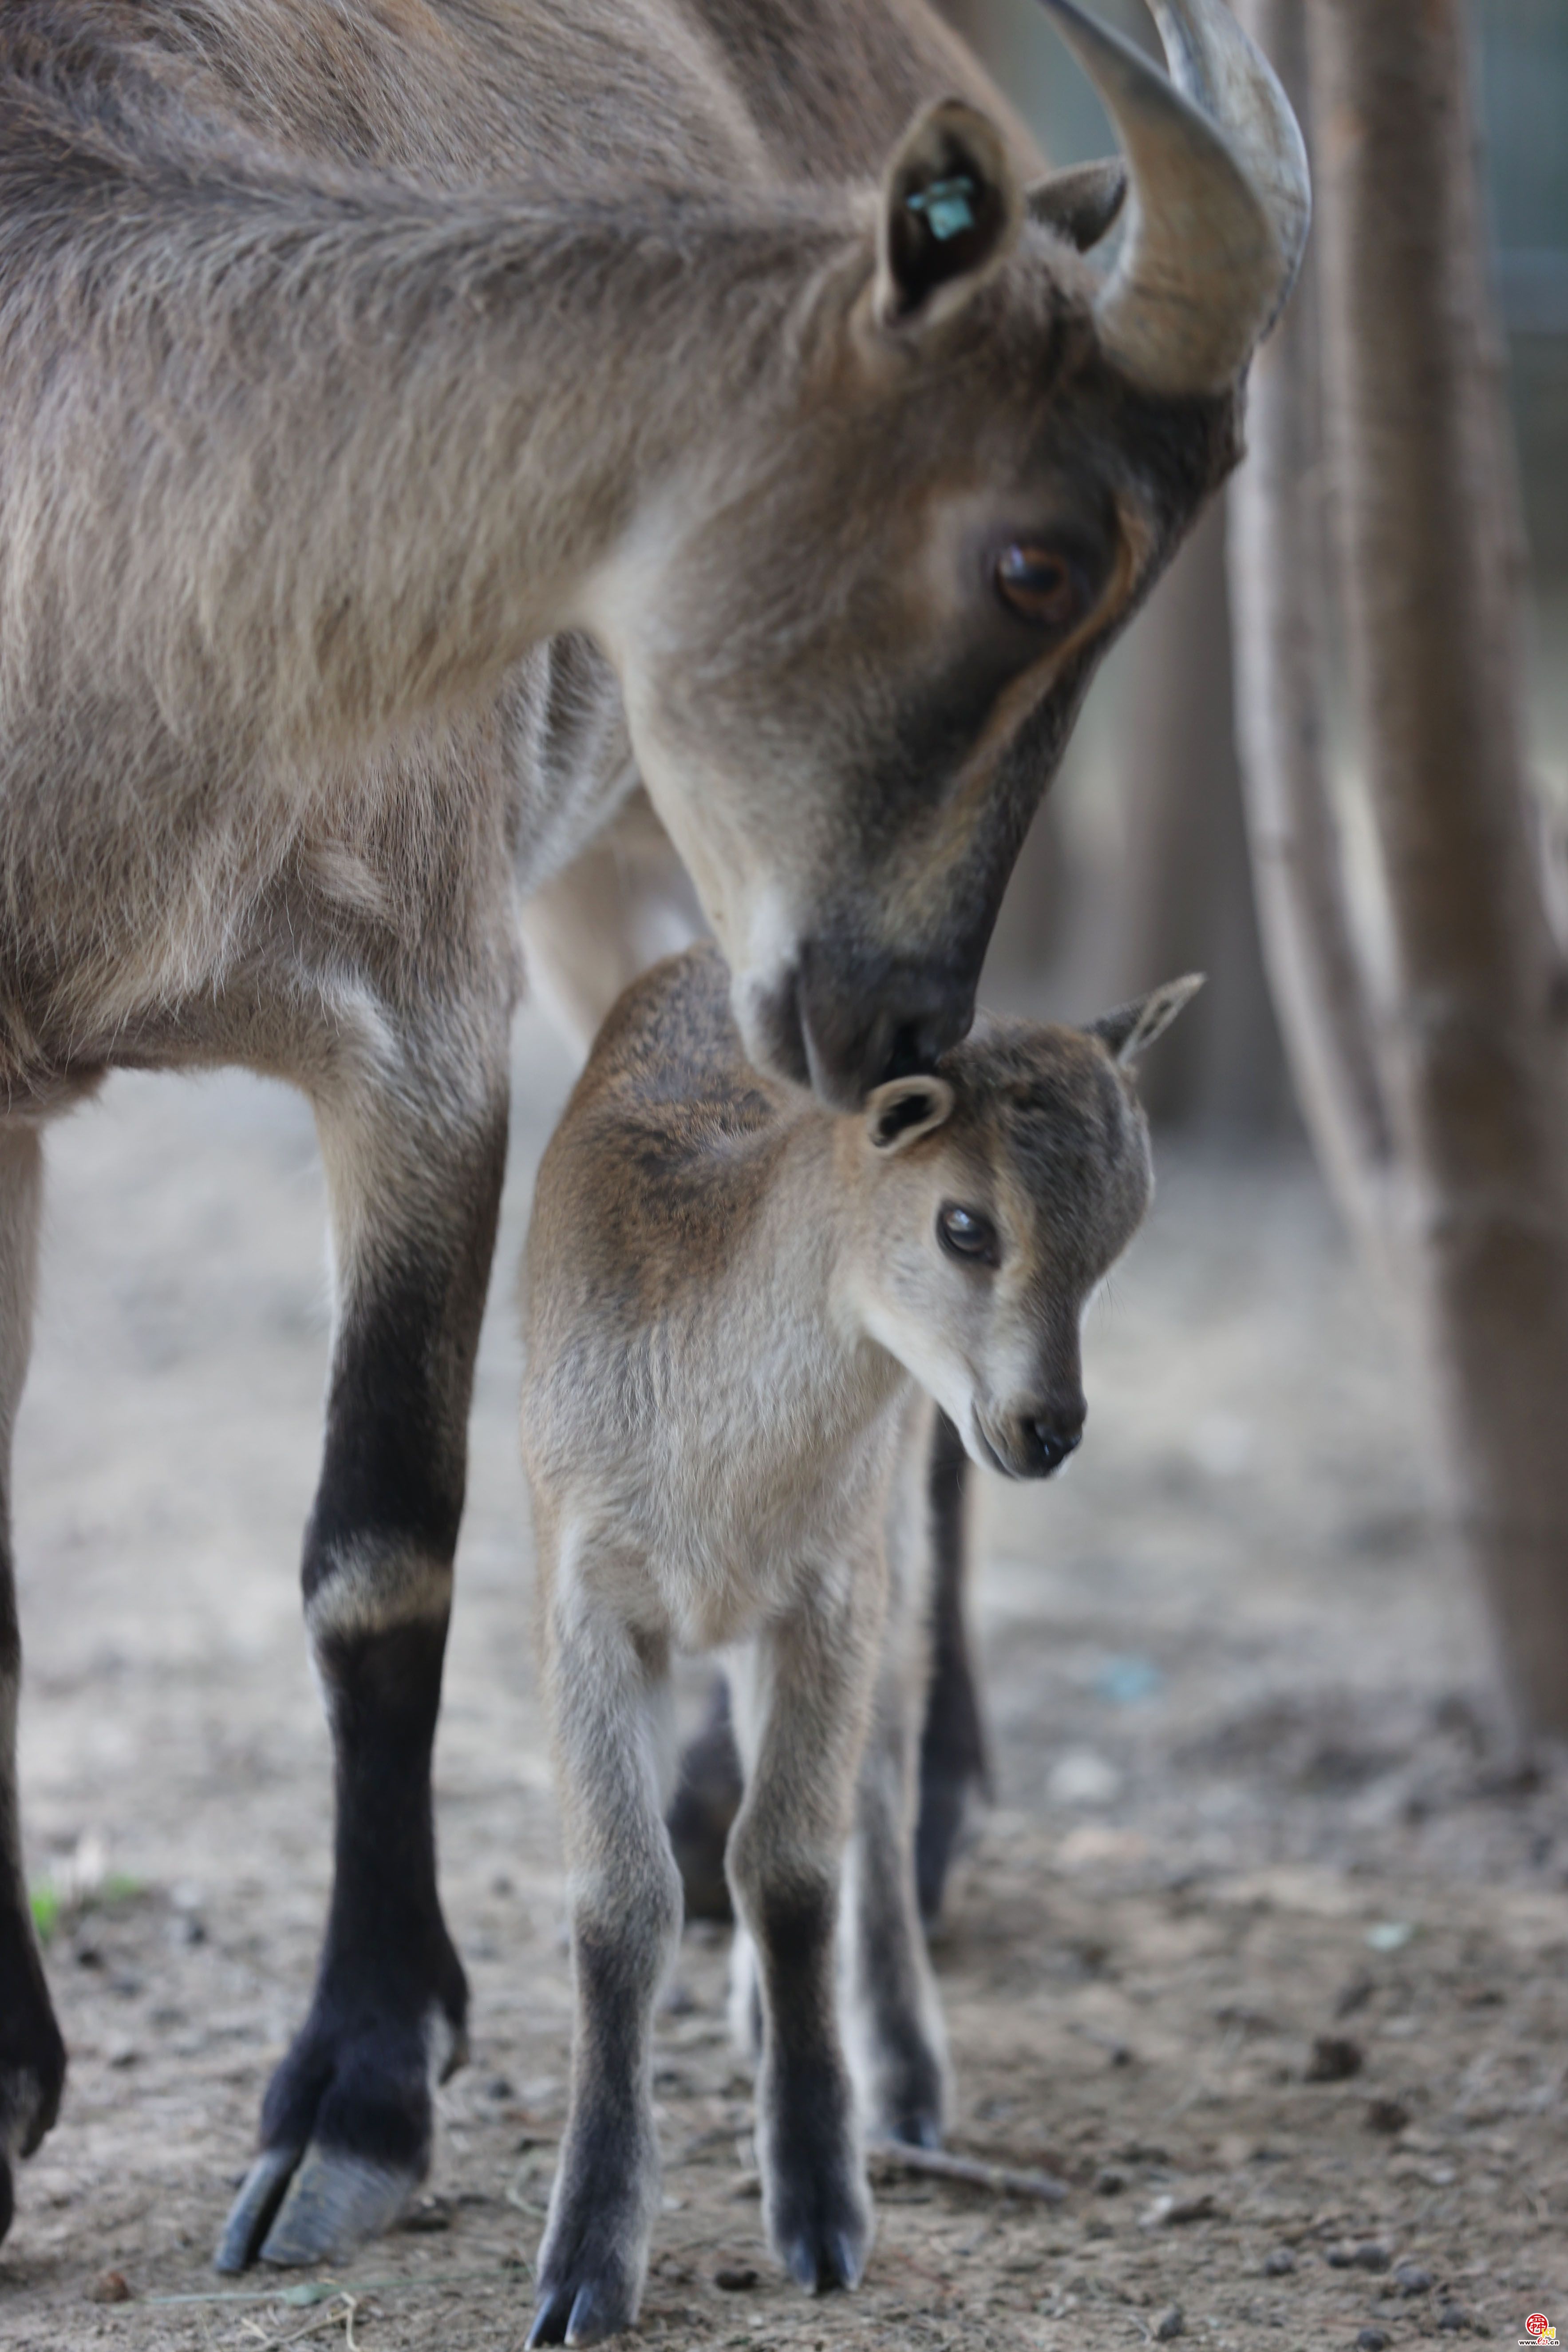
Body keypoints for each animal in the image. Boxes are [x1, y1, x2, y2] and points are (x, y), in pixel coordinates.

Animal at [0, 0, 1307, 2286]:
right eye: (1039, 554)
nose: (898, 1024)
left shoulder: (412, 1019)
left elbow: (381, 1548)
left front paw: (352, 2101)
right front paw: (6, 2086)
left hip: (640, 869)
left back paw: (871, 1827)